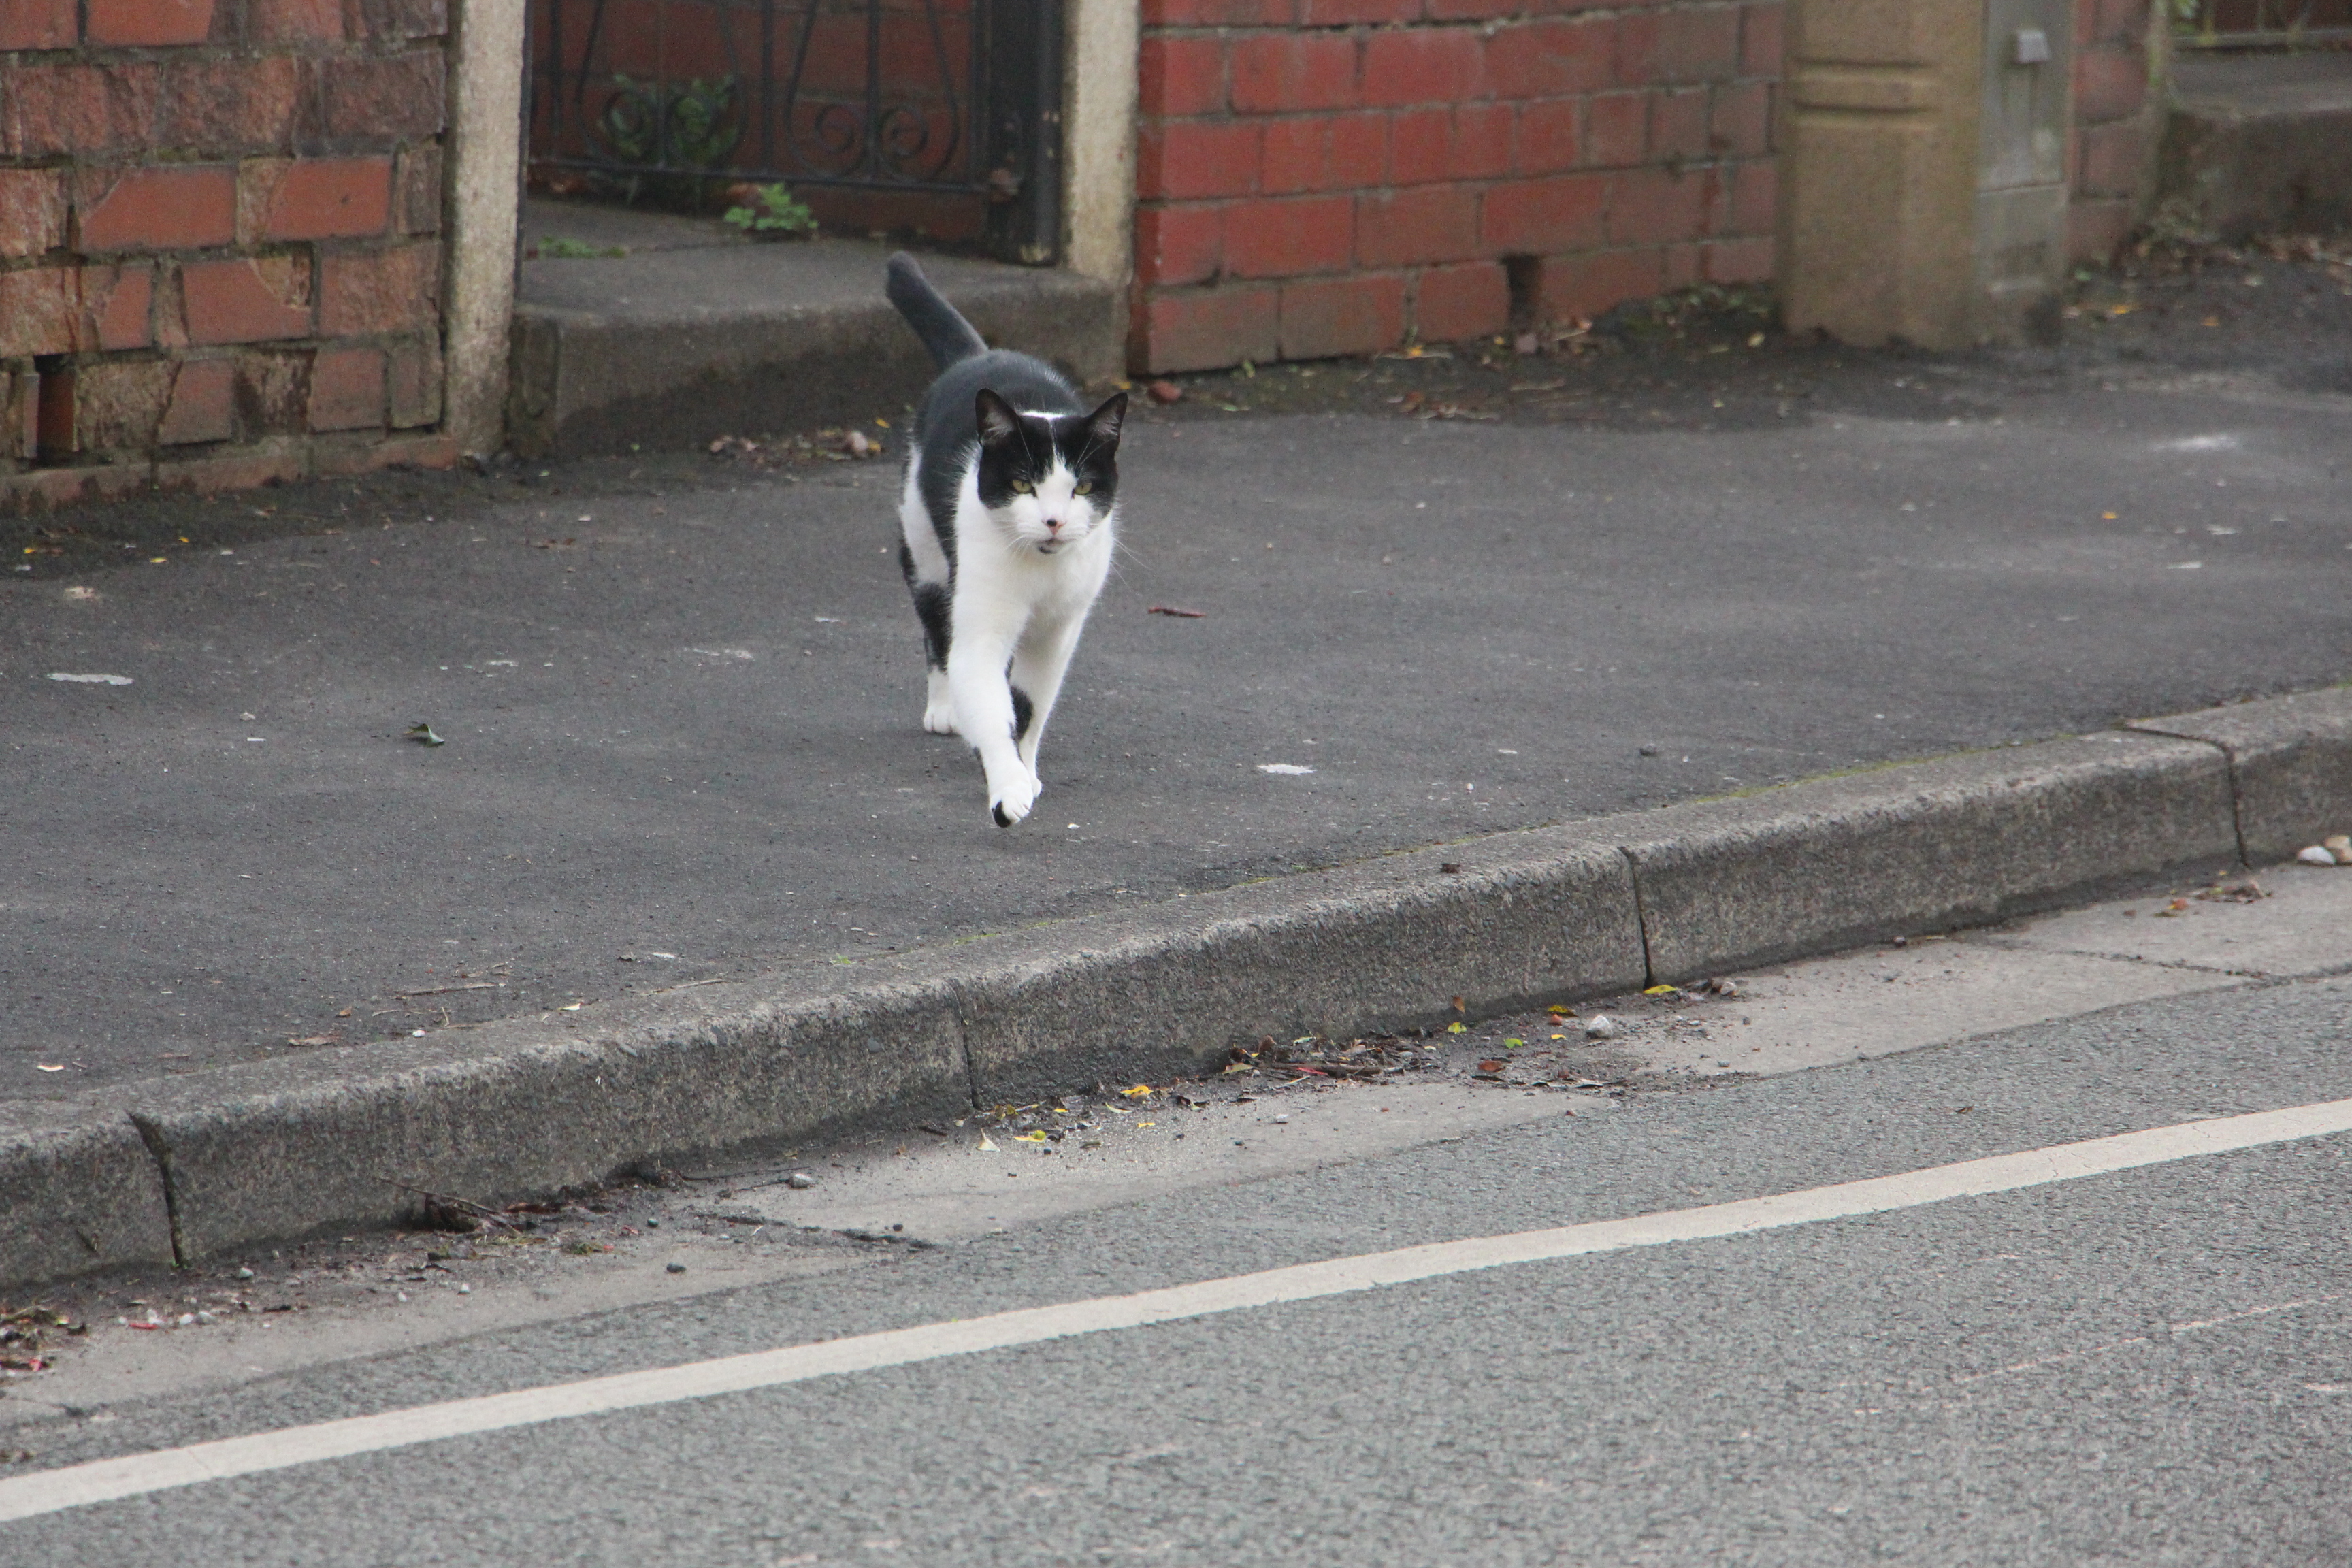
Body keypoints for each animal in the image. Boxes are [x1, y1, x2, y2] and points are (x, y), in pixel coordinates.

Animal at [884, 252, 1127, 827]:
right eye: (1022, 484)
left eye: (1082, 487)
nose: (1054, 521)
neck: (1041, 570)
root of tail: (980, 355)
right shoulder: (983, 628)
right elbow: (992, 705)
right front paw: (1008, 788)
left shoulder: (1059, 632)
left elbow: (1030, 706)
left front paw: (1026, 771)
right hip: (925, 552)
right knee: (937, 632)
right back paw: (946, 710)